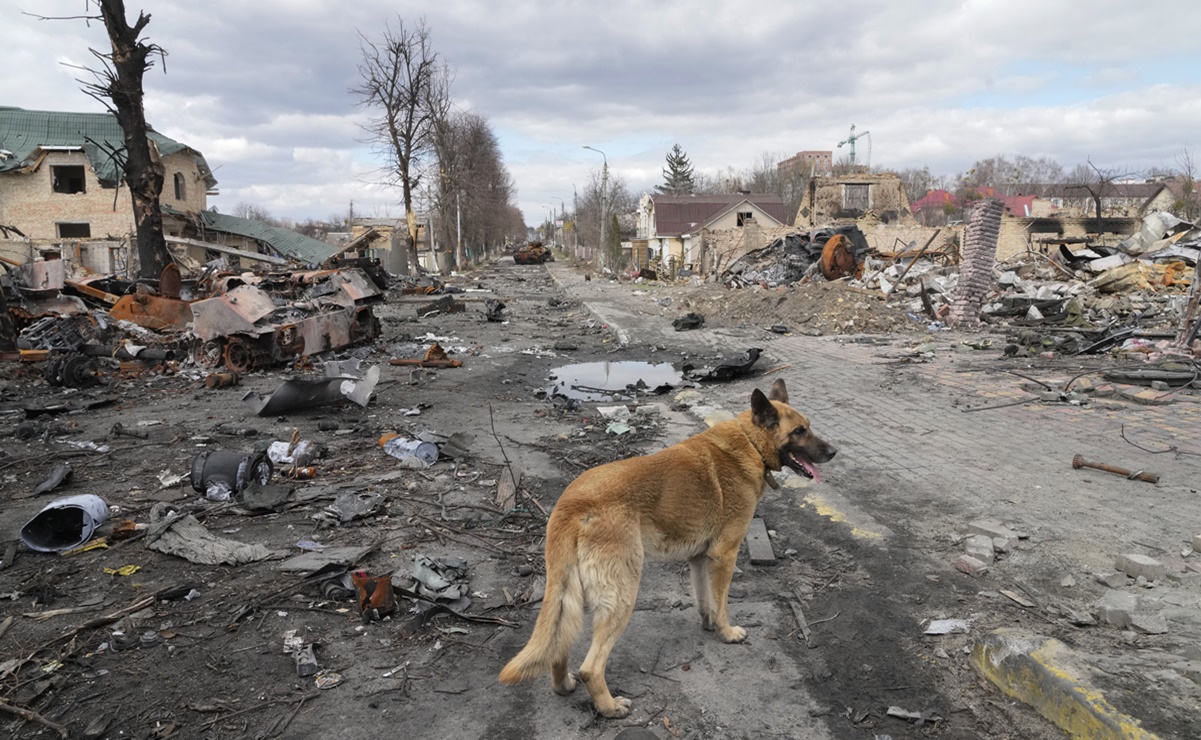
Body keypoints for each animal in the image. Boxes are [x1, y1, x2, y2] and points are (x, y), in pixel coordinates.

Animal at [497, 379, 835, 715]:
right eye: (799, 431)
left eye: (809, 427)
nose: (834, 451)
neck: (750, 443)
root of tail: (571, 504)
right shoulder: (725, 555)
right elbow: (722, 603)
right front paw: (726, 633)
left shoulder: (699, 558)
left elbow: (705, 599)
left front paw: (709, 624)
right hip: (623, 595)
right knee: (591, 668)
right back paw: (609, 707)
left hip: (571, 594)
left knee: (559, 644)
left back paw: (564, 685)